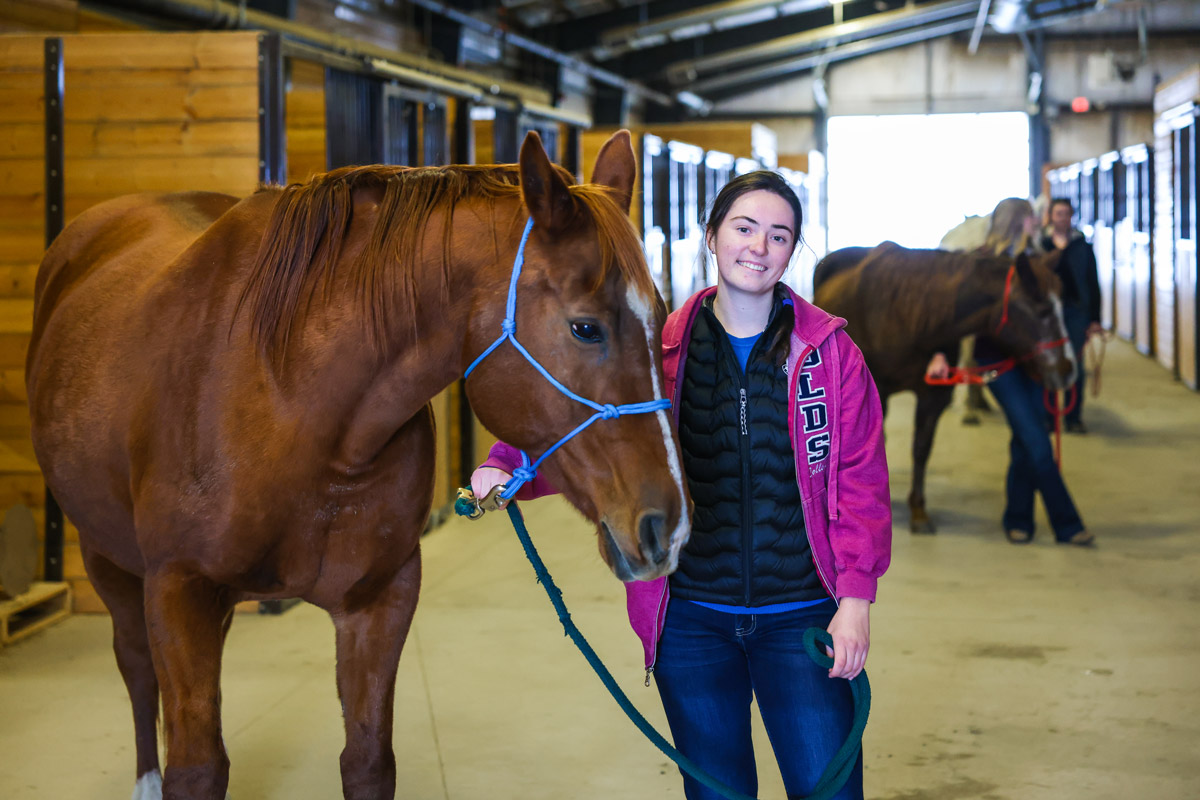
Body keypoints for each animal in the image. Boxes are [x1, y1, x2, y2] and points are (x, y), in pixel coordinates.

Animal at [25, 131, 696, 800]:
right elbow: (196, 767)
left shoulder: (380, 598)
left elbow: (368, 759)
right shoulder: (177, 588)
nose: (669, 528)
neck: (290, 400)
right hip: (108, 558)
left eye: (661, 318)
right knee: (137, 668)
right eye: (585, 328)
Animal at [811, 241, 1075, 534]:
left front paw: (918, 511)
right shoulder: (877, 390)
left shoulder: (934, 396)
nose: (1067, 370)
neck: (911, 315)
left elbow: (921, 449)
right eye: (1043, 311)